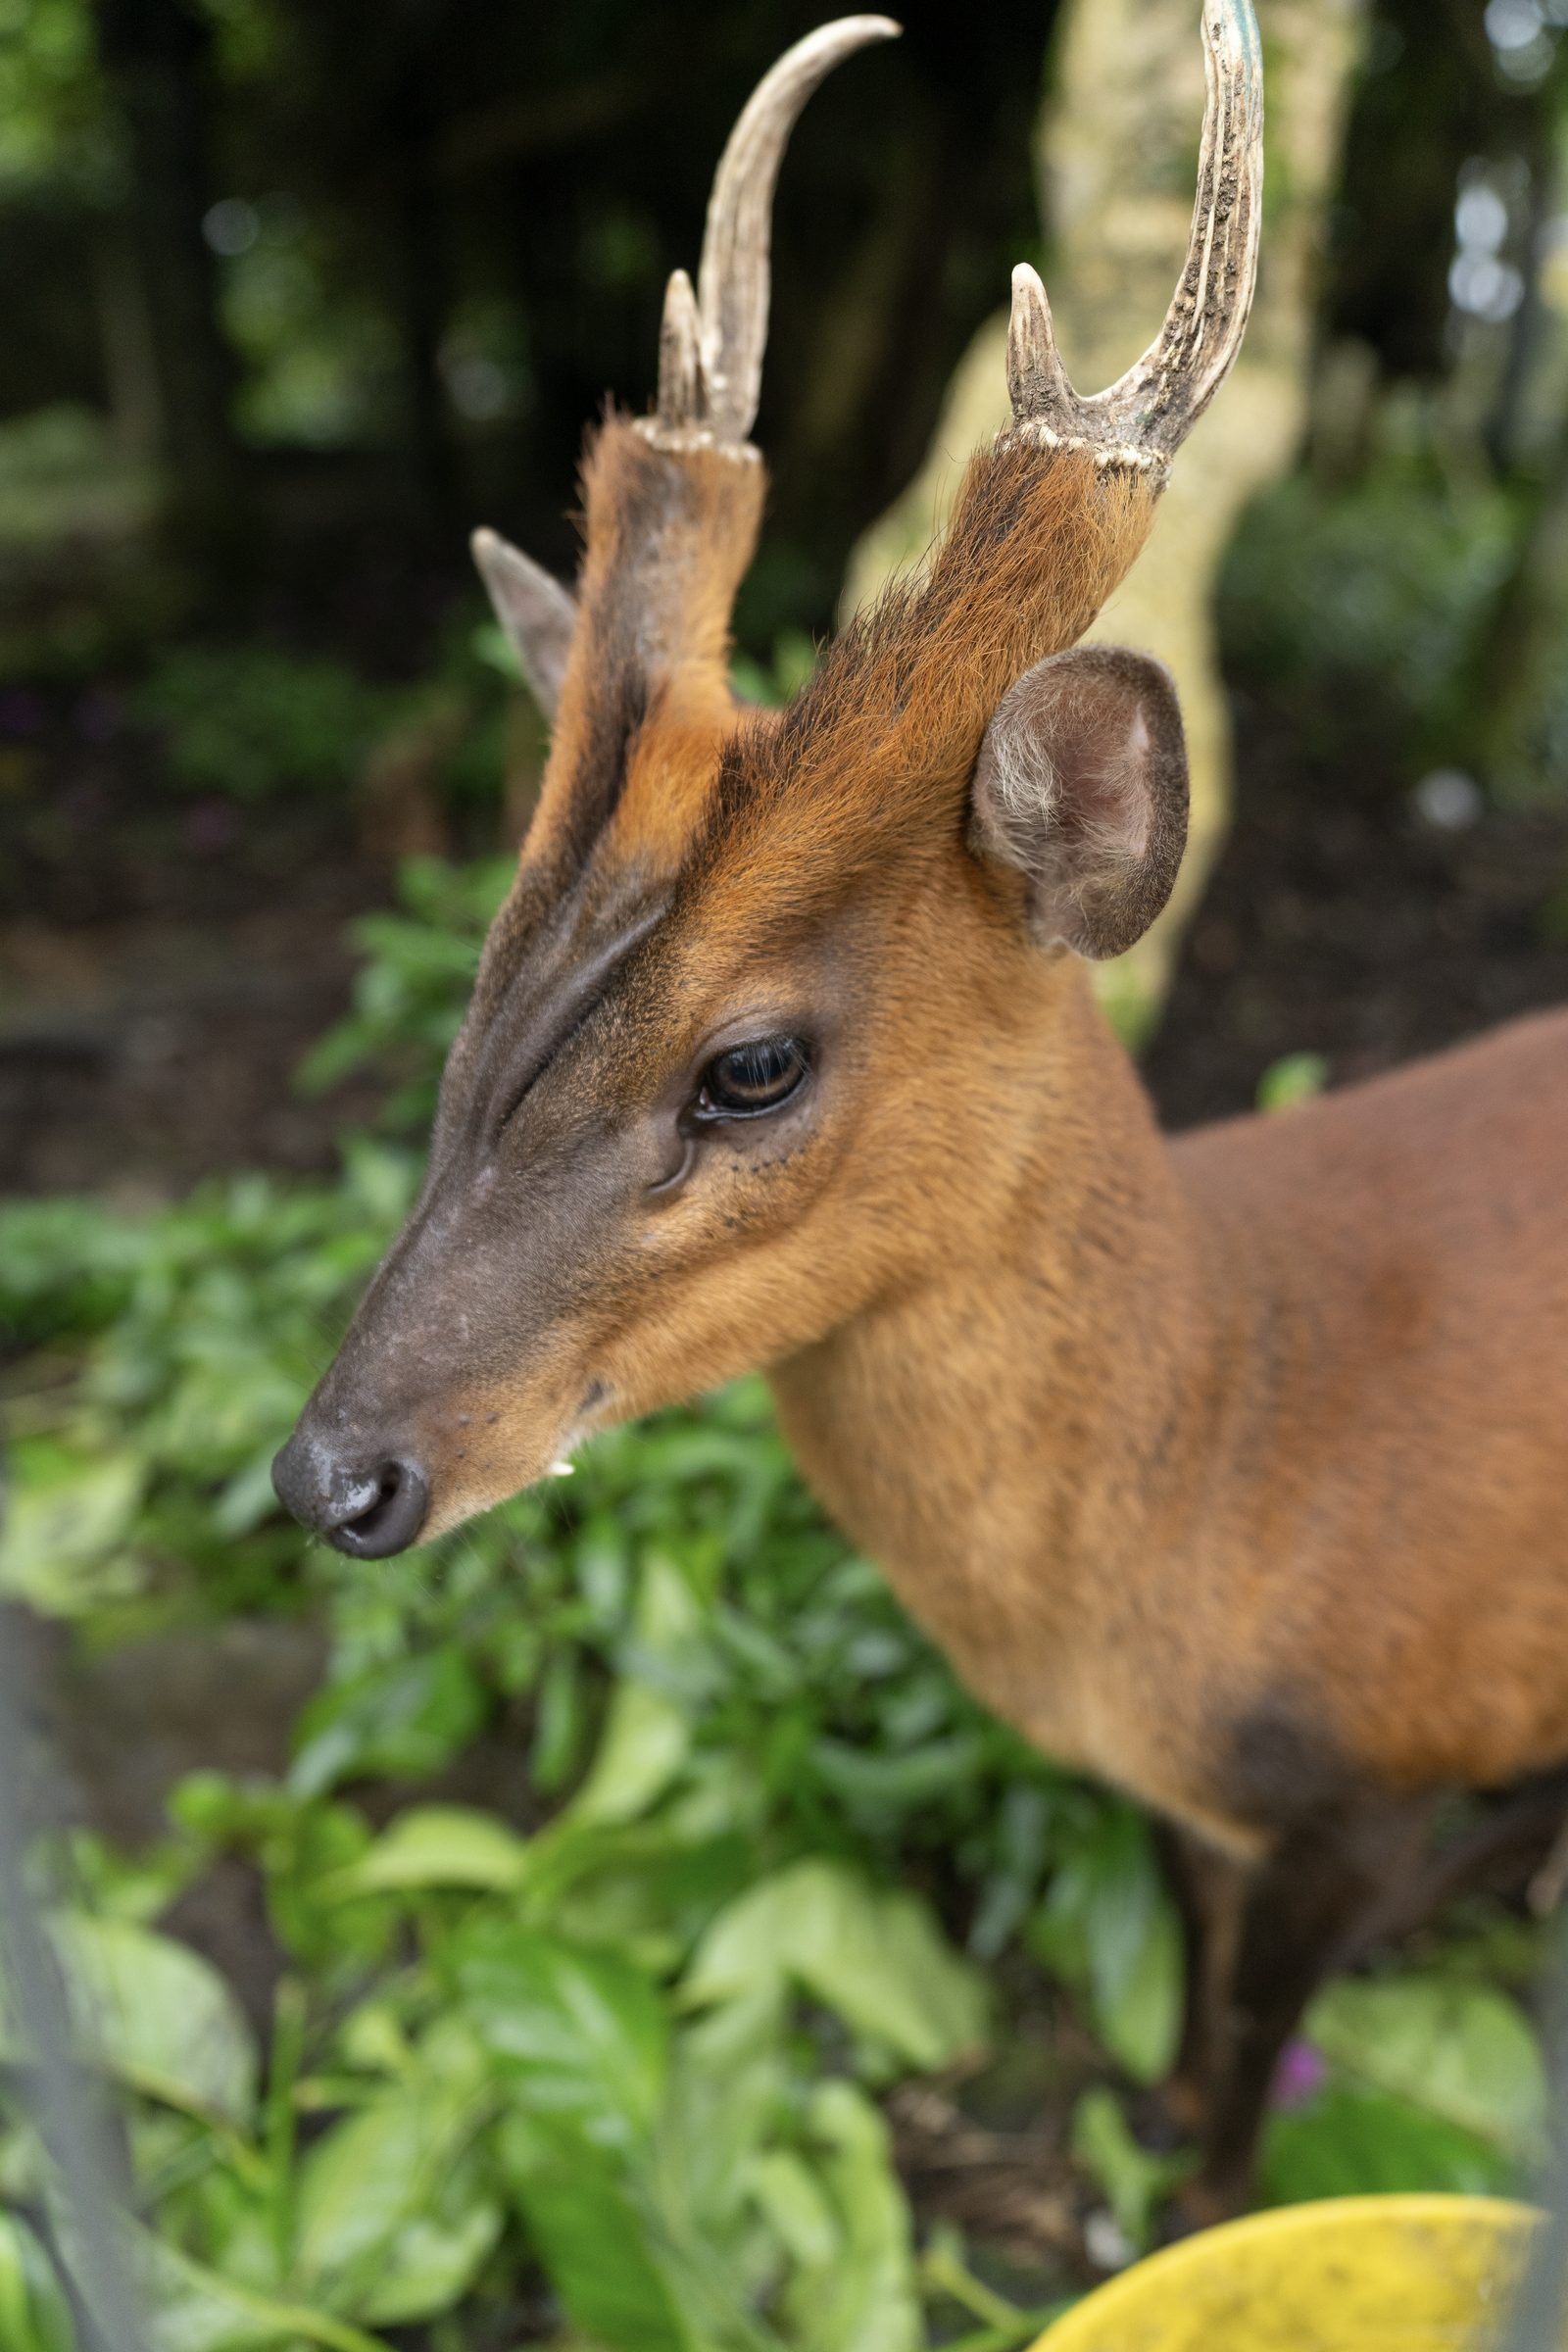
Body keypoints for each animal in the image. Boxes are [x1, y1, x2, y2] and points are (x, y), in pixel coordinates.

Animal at [273, 3, 1568, 2221]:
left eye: (750, 1065)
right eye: (486, 992)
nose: (333, 1475)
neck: (1238, 1450)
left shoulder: (1355, 1791)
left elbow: (1246, 2119)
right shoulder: (1204, 1816)